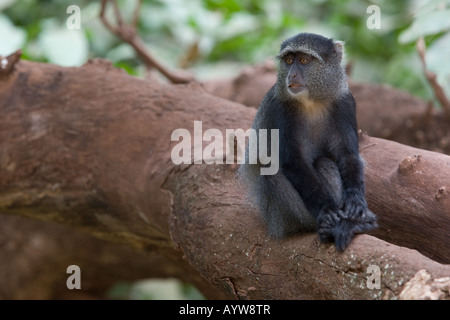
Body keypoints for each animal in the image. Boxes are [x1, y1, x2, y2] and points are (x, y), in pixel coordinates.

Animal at [239, 33, 376, 252]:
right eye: (288, 61)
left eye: (303, 60)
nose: (292, 75)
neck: (311, 102)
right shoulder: (281, 108)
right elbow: (293, 161)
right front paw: (327, 211)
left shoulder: (345, 102)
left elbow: (347, 155)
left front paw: (356, 202)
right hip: (288, 217)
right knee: (272, 173)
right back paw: (327, 226)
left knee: (324, 162)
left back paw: (354, 224)